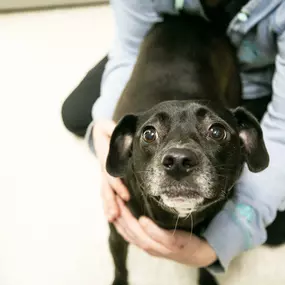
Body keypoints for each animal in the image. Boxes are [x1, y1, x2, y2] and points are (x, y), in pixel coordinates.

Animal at [105, 13, 270, 284]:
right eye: (149, 133)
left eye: (217, 131)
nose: (179, 161)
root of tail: (190, 19)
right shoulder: (117, 233)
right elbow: (120, 266)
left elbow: (204, 264)